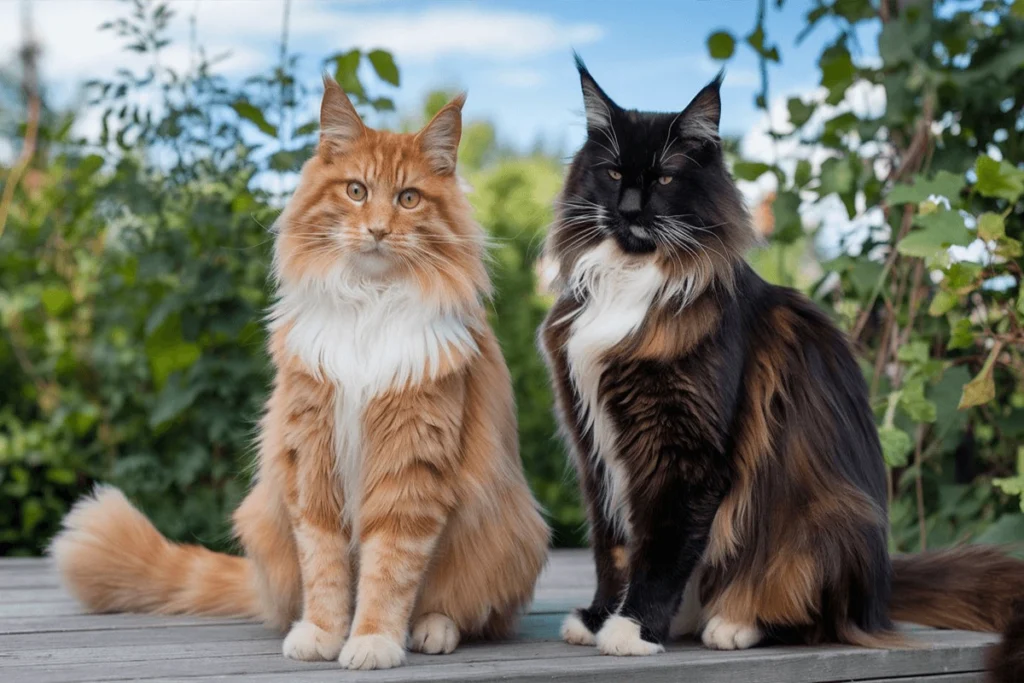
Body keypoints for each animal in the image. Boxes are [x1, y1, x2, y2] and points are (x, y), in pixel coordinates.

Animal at [50, 77, 548, 671]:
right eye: (356, 191)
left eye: (408, 198)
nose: (378, 230)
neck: (368, 304)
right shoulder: (311, 453)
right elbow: (325, 567)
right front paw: (323, 634)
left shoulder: (411, 463)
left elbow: (389, 569)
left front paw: (372, 640)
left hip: (509, 537)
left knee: (472, 612)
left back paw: (432, 628)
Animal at [540, 54, 1019, 663]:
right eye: (613, 174)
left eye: (665, 179)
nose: (627, 210)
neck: (630, 282)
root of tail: (881, 590)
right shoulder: (596, 446)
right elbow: (614, 548)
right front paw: (600, 616)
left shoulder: (687, 454)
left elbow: (661, 551)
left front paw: (633, 629)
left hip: (826, 525)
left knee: (820, 620)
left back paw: (735, 624)